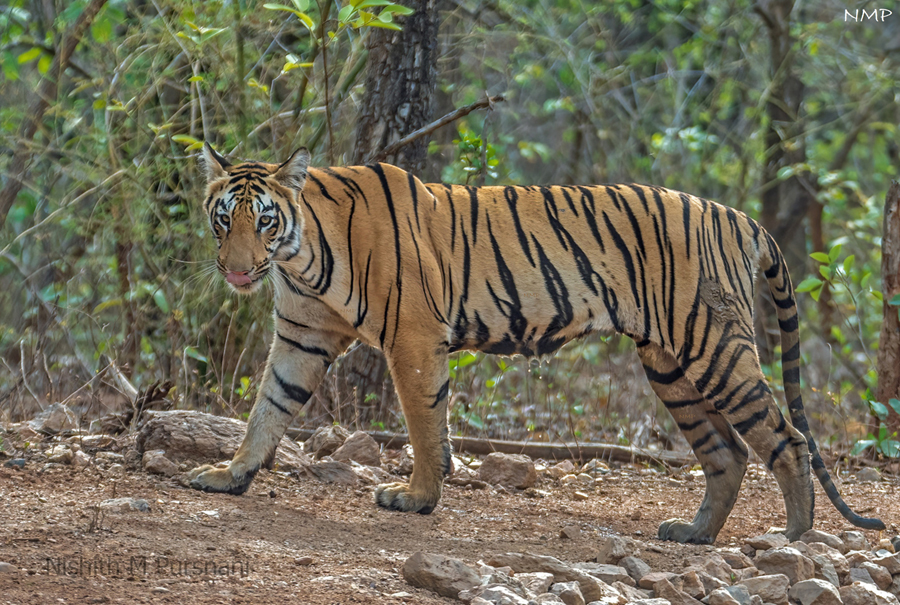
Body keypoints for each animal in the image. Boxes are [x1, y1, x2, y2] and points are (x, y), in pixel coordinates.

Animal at [186, 142, 884, 543]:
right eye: (223, 219)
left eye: (264, 220)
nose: (237, 271)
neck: (300, 257)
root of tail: (740, 217)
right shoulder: (301, 338)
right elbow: (266, 411)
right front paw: (230, 476)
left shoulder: (413, 337)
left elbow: (423, 424)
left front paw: (416, 498)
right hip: (669, 365)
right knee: (728, 453)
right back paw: (692, 533)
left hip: (712, 344)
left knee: (787, 438)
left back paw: (793, 537)